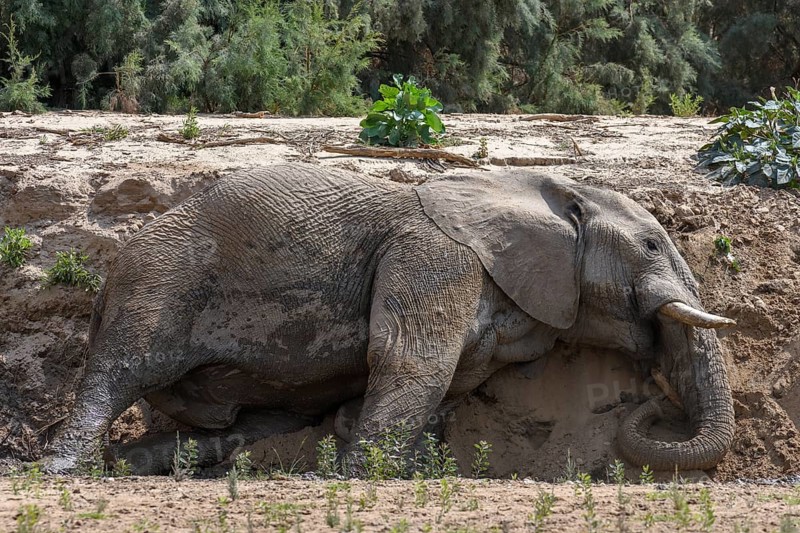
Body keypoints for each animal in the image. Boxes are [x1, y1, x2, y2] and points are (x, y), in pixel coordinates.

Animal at [41, 164, 736, 475]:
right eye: (653, 245)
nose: (650, 397)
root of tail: (106, 277)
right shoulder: (434, 258)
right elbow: (411, 367)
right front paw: (356, 477)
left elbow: (442, 382)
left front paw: (392, 464)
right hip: (159, 281)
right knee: (122, 369)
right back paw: (63, 469)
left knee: (249, 421)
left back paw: (146, 464)